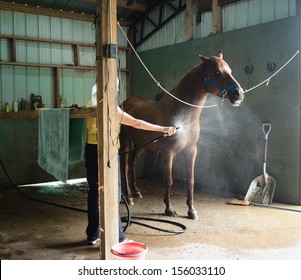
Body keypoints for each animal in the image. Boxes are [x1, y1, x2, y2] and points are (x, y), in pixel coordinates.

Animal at [118, 51, 243, 220]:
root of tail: (126, 102)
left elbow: (191, 180)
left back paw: (137, 191)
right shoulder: (168, 152)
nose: (238, 94)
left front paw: (192, 211)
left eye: (230, 71)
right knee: (124, 166)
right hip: (125, 141)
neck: (183, 116)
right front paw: (169, 208)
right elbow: (169, 181)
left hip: (141, 145)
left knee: (132, 163)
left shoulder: (191, 150)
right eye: (217, 72)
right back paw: (129, 196)